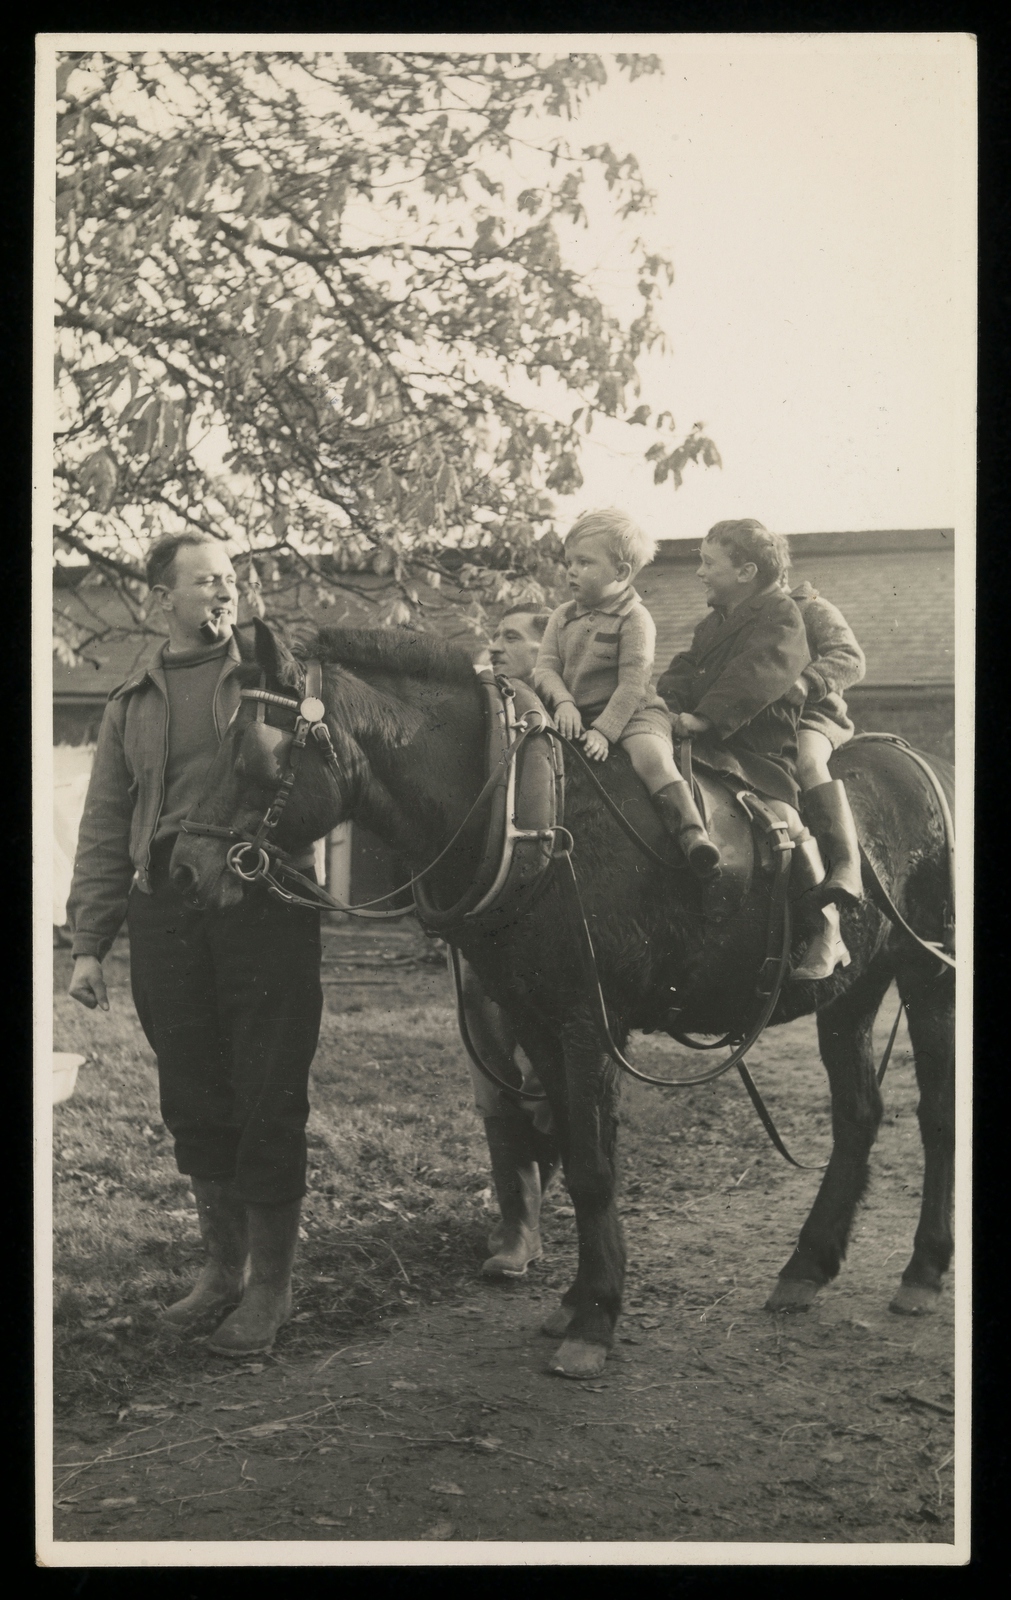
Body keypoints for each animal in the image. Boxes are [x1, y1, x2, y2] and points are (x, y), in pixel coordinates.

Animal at [173, 620, 953, 1376]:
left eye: (251, 750)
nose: (182, 868)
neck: (532, 813)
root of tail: (929, 768)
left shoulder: (588, 1023)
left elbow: (594, 1166)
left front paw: (596, 1318)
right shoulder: (536, 1021)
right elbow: (576, 1155)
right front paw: (578, 1299)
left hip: (929, 976)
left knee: (934, 1117)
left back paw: (921, 1269)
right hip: (850, 991)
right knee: (858, 1115)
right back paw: (807, 1265)